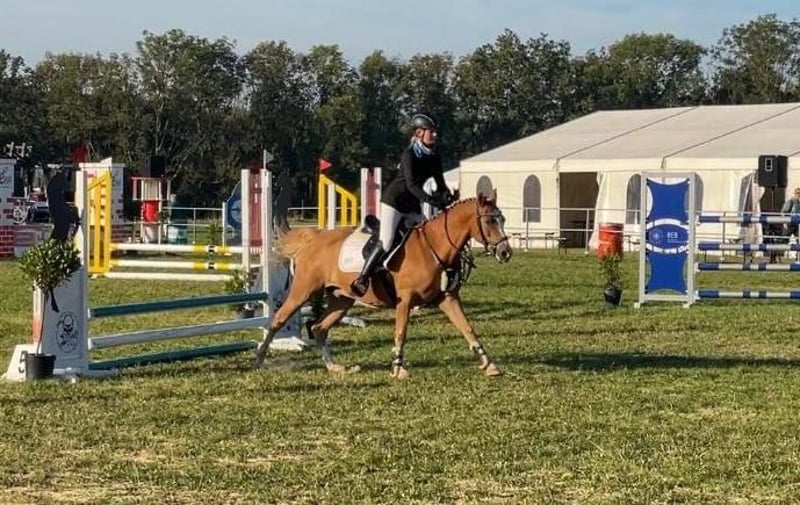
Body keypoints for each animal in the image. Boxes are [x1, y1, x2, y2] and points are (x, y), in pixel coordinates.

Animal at [254, 190, 513, 379]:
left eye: (502, 219)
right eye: (489, 221)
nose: (505, 252)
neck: (433, 247)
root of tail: (314, 238)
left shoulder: (447, 298)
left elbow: (467, 328)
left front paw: (489, 364)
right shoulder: (405, 300)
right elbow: (400, 332)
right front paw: (398, 368)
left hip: (341, 299)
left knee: (319, 328)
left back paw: (335, 367)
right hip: (303, 291)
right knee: (278, 320)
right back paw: (259, 359)